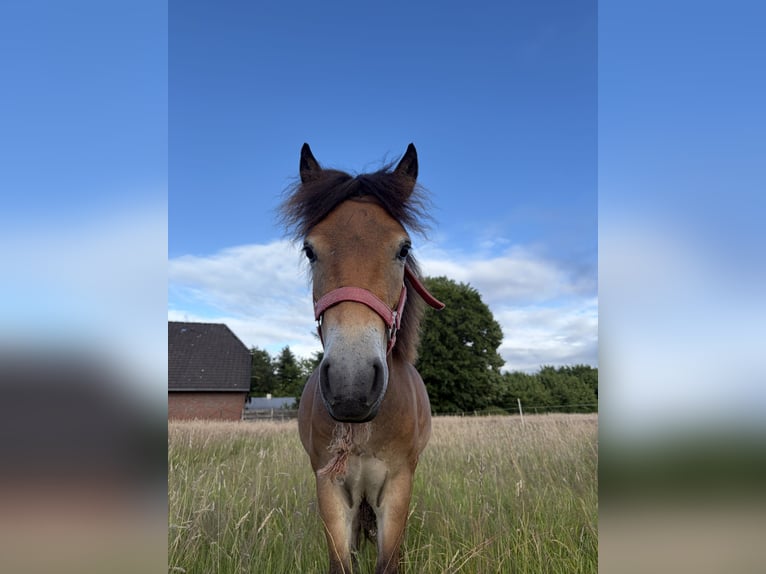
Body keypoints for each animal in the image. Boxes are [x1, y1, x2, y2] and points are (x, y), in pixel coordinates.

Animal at [281, 143, 444, 574]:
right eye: (310, 250)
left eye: (403, 248)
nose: (350, 385)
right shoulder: (330, 489)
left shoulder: (398, 488)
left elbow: (389, 561)